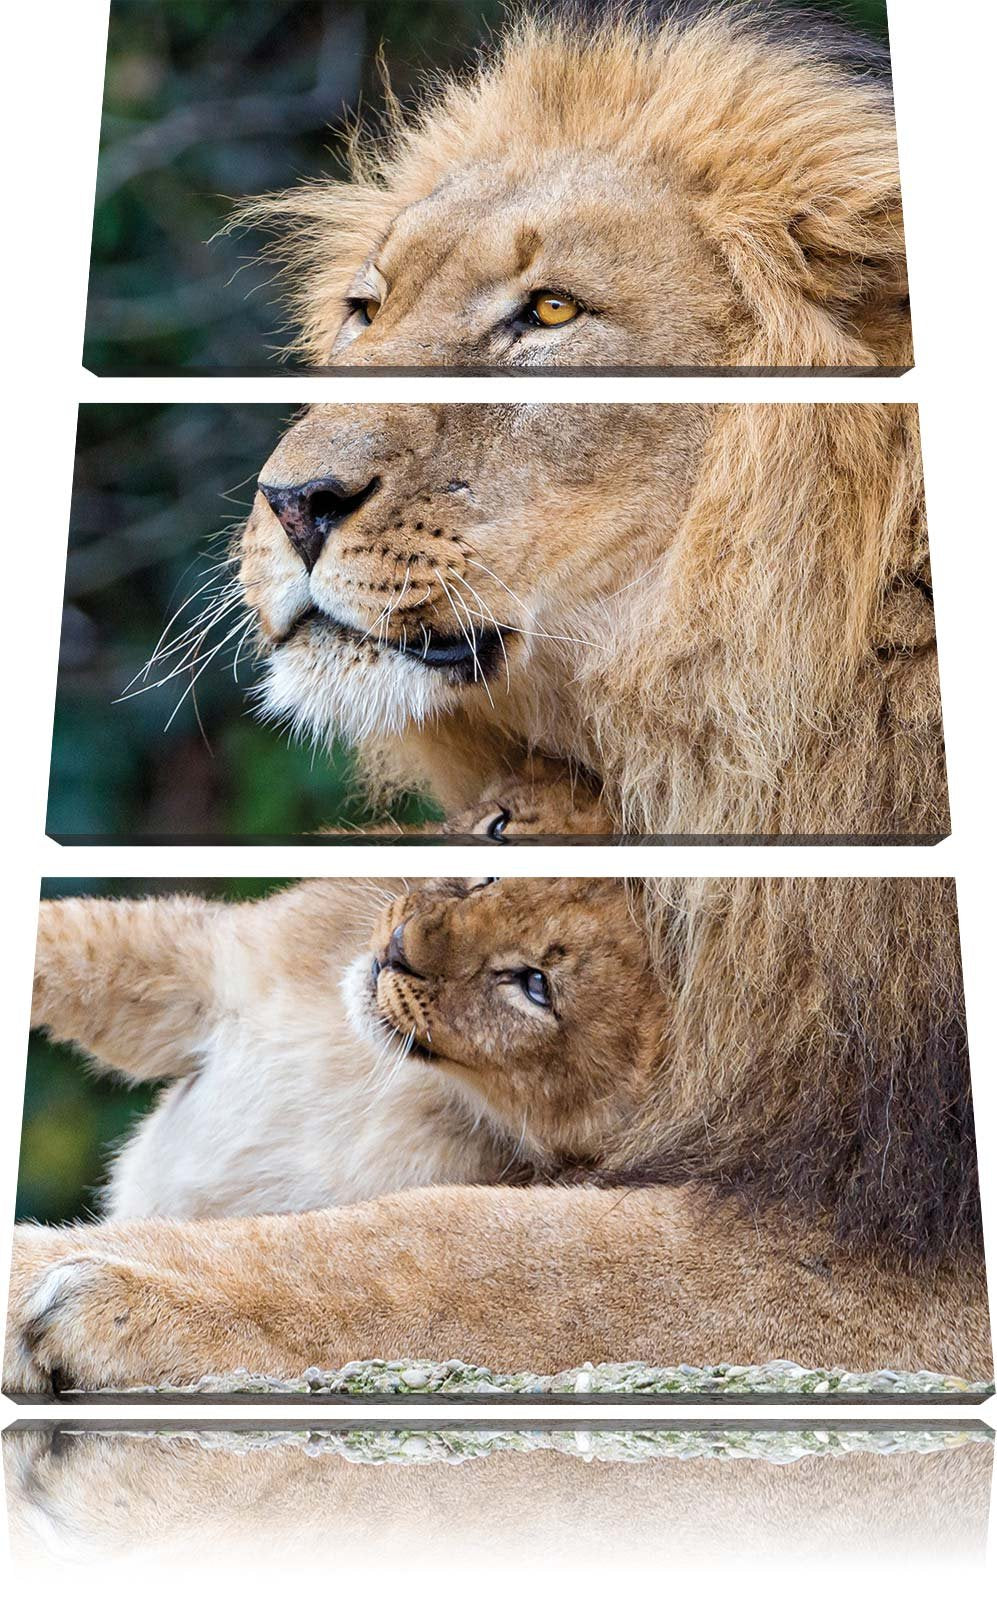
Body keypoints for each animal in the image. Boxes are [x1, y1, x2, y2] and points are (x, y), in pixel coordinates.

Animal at [6, 877, 989, 1394]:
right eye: (480, 877)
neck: (385, 1075)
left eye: (534, 985)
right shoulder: (214, 968)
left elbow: (400, 1280)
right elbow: (78, 943)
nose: (397, 947)